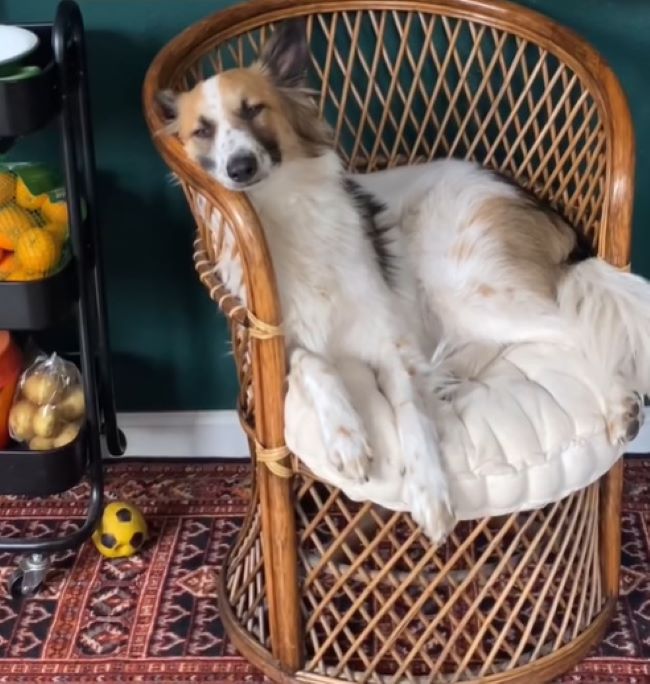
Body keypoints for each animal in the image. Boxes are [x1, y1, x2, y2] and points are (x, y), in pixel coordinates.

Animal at [157, 21, 648, 544]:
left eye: (254, 110)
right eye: (202, 131)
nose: (240, 168)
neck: (283, 215)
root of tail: (530, 200)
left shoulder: (391, 344)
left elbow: (412, 415)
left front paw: (430, 493)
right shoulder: (274, 345)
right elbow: (315, 363)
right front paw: (348, 435)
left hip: (459, 278)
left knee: (574, 331)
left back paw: (620, 404)